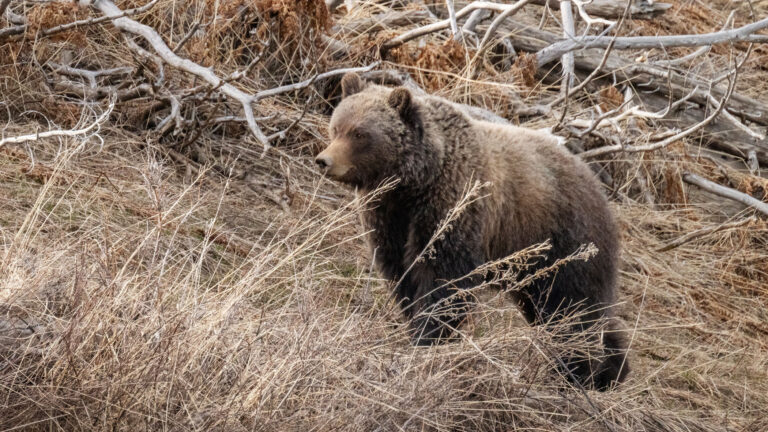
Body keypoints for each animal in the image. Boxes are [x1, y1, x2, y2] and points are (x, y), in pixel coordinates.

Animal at [315, 72, 629, 391]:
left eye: (360, 133)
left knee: (573, 307)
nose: (324, 160)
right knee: (562, 309)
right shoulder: (389, 220)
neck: (413, 185)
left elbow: (443, 282)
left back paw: (580, 372)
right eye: (336, 126)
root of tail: (598, 186)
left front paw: (428, 338)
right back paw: (610, 369)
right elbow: (402, 275)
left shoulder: (453, 208)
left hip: (564, 239)